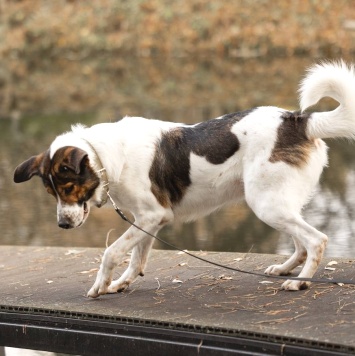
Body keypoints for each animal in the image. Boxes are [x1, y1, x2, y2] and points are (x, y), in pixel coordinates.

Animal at [12, 62, 355, 298]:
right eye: (51, 193)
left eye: (68, 188)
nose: (62, 225)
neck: (106, 157)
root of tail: (297, 120)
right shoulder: (148, 220)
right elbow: (136, 259)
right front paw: (121, 283)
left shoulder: (152, 216)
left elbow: (113, 252)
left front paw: (101, 284)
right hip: (275, 201)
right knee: (300, 243)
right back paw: (285, 269)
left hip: (266, 203)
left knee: (316, 240)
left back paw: (300, 282)